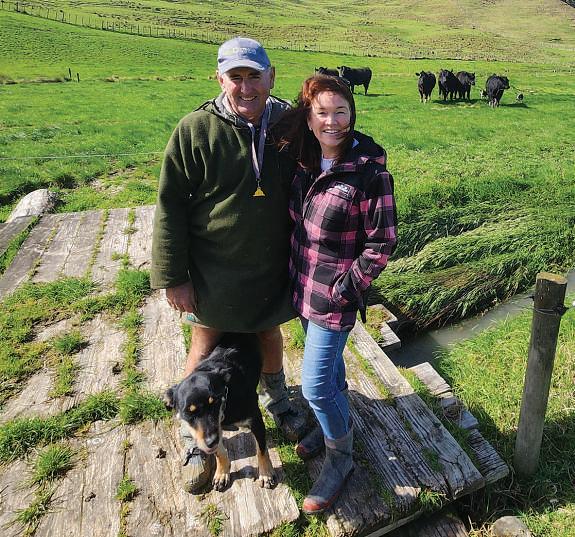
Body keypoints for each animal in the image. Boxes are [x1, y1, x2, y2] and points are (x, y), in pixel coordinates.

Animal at [165, 333, 276, 491]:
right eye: (188, 413)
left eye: (215, 402)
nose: (211, 441)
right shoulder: (214, 432)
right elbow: (219, 453)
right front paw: (222, 474)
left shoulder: (255, 419)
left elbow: (261, 449)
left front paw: (266, 474)